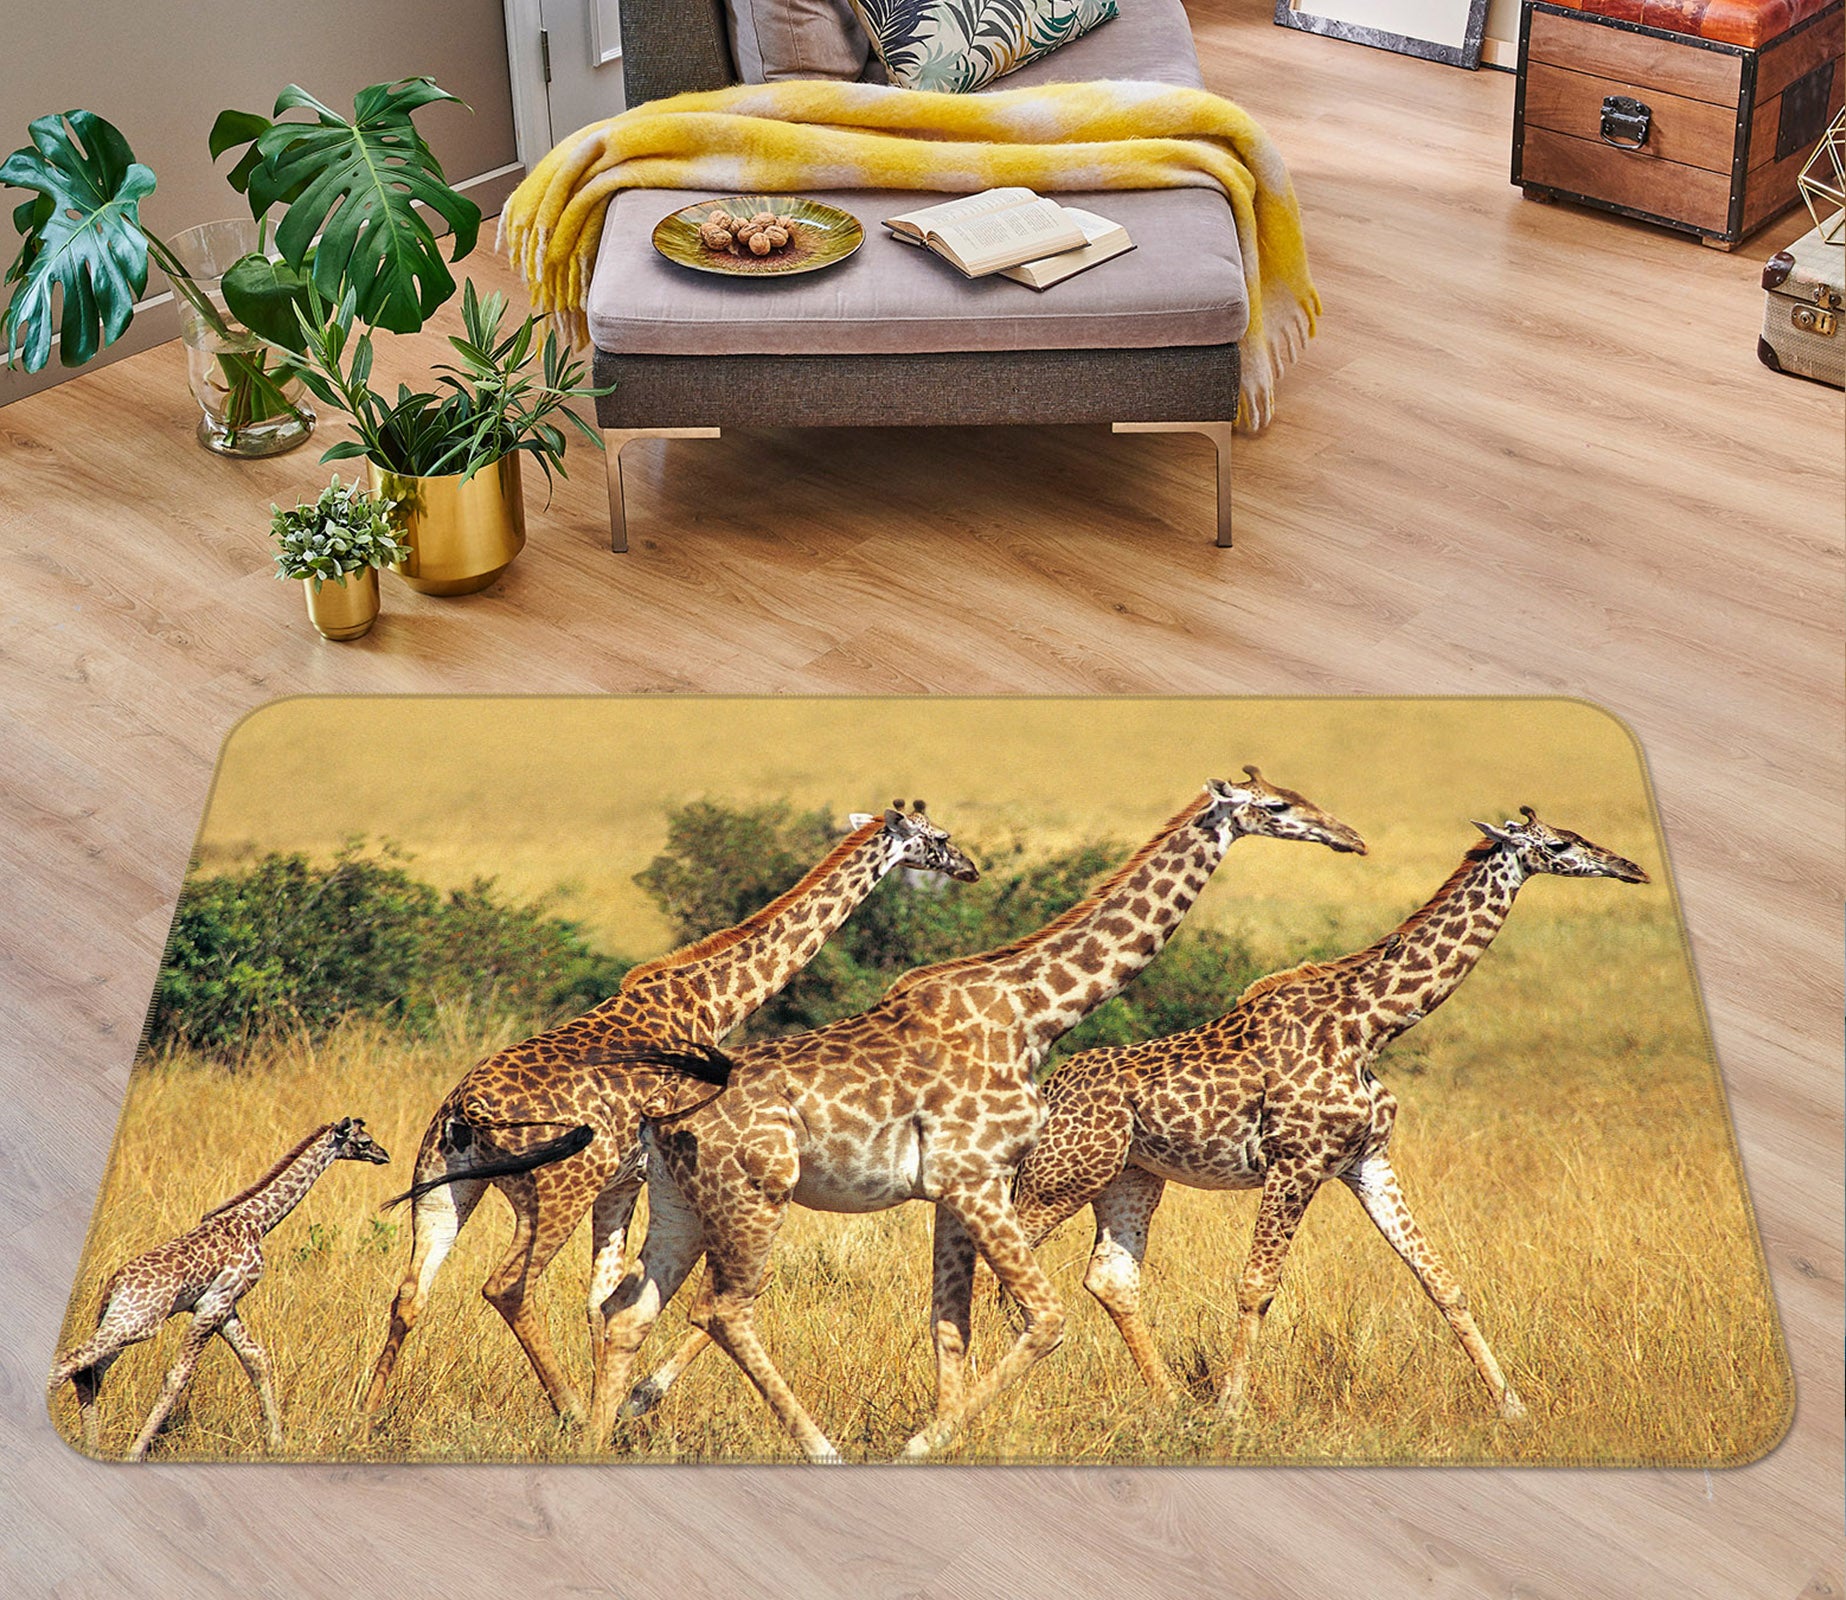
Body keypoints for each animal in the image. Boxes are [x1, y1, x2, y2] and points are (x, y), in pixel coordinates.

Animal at [48, 1117, 393, 1460]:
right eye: (364, 1141)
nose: (384, 1155)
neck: (258, 1220)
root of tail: (114, 1284)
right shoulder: (211, 1305)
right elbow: (178, 1376)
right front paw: (135, 1452)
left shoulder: (226, 1306)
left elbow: (256, 1358)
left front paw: (276, 1444)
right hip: (140, 1323)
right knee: (69, 1362)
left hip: (122, 1322)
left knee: (88, 1371)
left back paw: (93, 1446)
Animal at [359, 802, 979, 1423]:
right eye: (940, 838)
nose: (970, 868)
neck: (713, 1002)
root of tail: (469, 1106)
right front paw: (627, 1401)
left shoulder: (624, 1183)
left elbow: (602, 1299)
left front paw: (613, 1404)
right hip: (557, 1188)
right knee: (507, 1285)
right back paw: (568, 1407)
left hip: (444, 1183)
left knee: (411, 1292)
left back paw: (368, 1412)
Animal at [591, 770, 1368, 1461]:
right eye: (1277, 805)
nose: (1351, 837)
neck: (1036, 1011)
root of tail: (660, 1117)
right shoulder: (977, 1179)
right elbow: (1046, 1318)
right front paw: (922, 1442)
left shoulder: (953, 1190)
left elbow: (949, 1322)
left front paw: (948, 1433)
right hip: (755, 1194)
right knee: (723, 1308)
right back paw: (818, 1447)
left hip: (680, 1202)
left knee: (630, 1308)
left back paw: (594, 1436)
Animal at [1006, 807, 1649, 1421]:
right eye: (1560, 843)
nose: (1631, 868)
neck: (1368, 1027)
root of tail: (1049, 1088)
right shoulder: (1295, 1163)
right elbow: (1256, 1286)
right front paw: (1231, 1408)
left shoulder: (1368, 1162)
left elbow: (1441, 1280)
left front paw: (1512, 1405)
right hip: (1059, 1179)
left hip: (1127, 1178)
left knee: (1110, 1278)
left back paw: (1167, 1402)